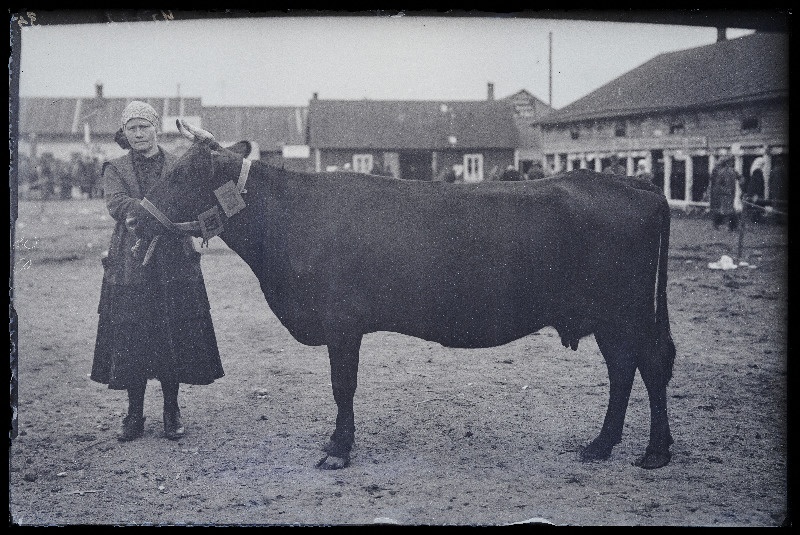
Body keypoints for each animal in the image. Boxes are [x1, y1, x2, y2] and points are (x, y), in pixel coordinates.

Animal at [130, 120, 676, 468]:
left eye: (183, 173)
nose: (133, 218)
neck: (287, 219)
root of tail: (635, 185)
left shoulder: (342, 323)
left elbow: (342, 386)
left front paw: (338, 449)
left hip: (626, 312)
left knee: (648, 364)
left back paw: (655, 451)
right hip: (609, 318)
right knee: (624, 369)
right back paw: (601, 445)